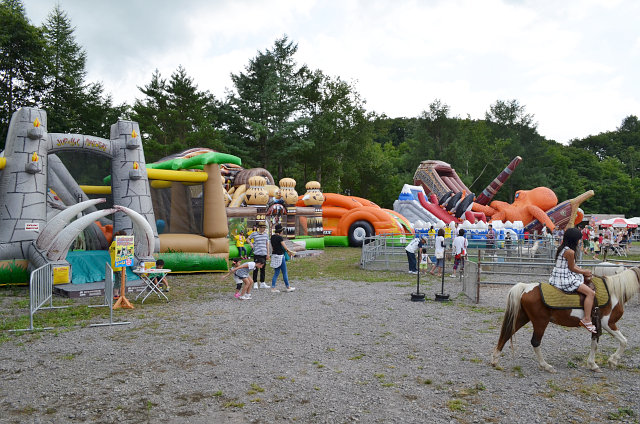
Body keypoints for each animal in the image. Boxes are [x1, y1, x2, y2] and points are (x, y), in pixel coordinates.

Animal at [490, 266, 640, 372]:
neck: (615, 291)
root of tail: (526, 287)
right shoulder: (608, 323)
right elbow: (624, 341)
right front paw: (612, 361)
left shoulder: (597, 325)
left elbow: (594, 344)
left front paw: (592, 364)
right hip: (540, 322)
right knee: (535, 342)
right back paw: (546, 366)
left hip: (522, 318)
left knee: (507, 333)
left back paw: (495, 360)